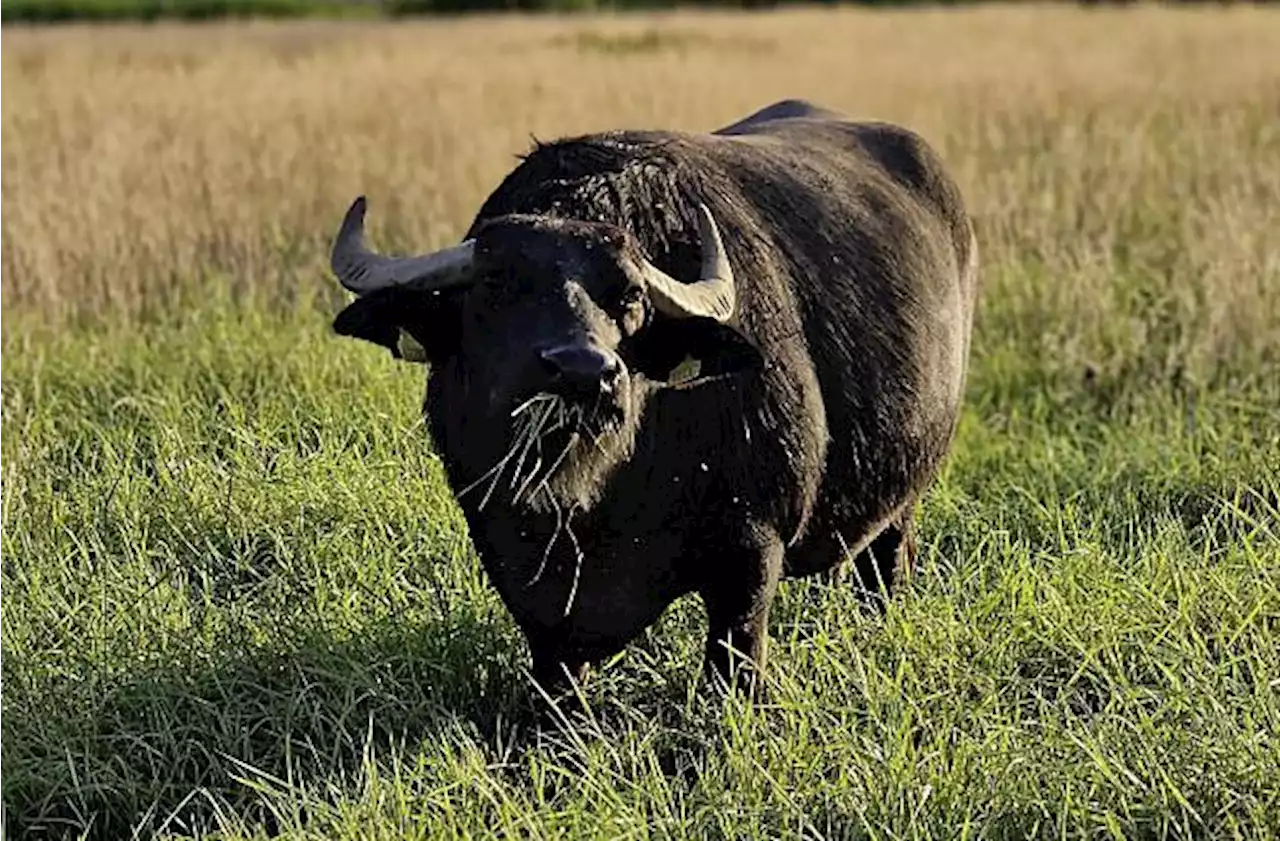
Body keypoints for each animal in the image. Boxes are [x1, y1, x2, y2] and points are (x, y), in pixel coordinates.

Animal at [327, 98, 977, 696]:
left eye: (631, 298)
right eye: (495, 287)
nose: (583, 371)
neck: (590, 498)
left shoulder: (752, 552)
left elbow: (736, 663)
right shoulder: (513, 565)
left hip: (905, 495)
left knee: (888, 559)